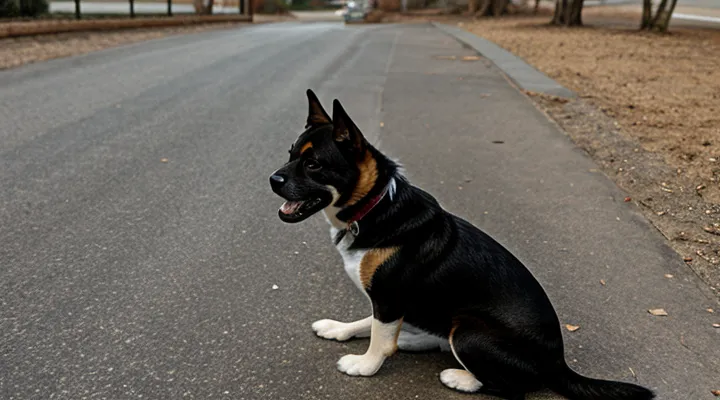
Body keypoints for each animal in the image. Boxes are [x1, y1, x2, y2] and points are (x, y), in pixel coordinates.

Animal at [268, 90, 656, 400]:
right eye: (289, 154)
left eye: (313, 164)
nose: (272, 179)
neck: (375, 207)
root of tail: (558, 363)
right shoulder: (388, 301)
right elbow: (369, 322)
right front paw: (340, 329)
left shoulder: (389, 297)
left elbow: (380, 340)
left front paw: (365, 365)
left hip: (469, 330)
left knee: (511, 387)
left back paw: (460, 378)